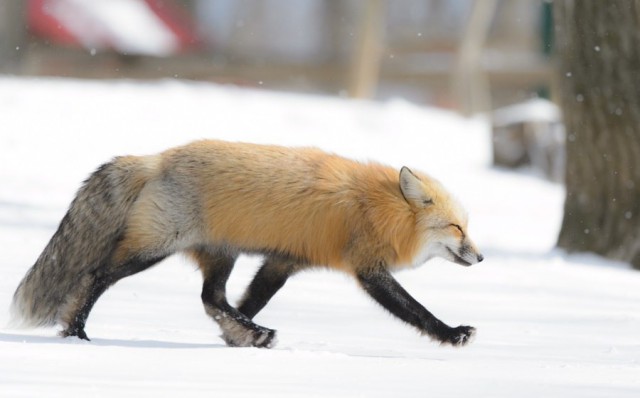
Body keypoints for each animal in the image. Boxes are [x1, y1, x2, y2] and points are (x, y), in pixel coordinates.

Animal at [12, 140, 482, 348]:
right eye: (456, 228)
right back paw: (75, 331)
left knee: (211, 297)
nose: (480, 257)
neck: (376, 207)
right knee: (95, 277)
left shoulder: (285, 261)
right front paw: (451, 333)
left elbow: (249, 301)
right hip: (153, 249)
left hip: (222, 254)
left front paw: (235, 336)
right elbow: (415, 310)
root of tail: (155, 159)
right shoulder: (367, 269)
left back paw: (253, 333)